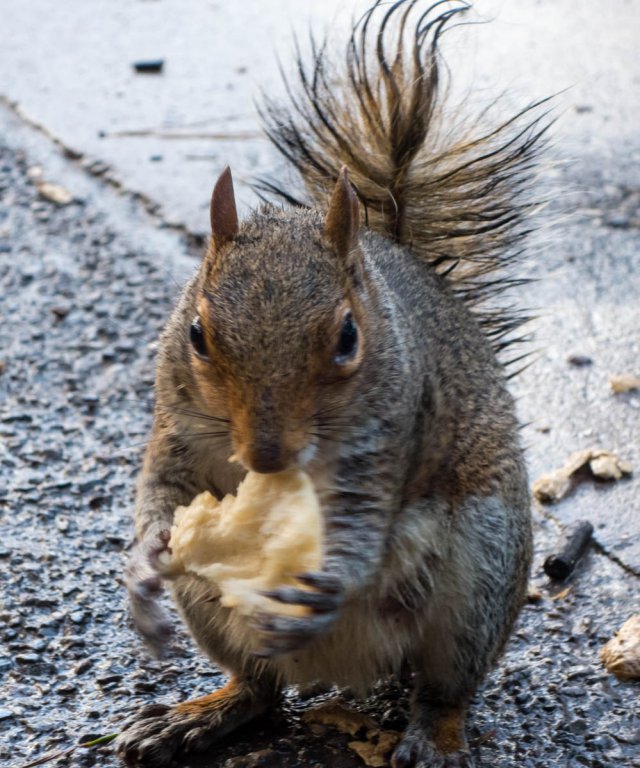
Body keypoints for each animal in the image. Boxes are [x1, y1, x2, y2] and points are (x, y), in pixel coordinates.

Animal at [115, 1, 544, 768]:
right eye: (196, 334)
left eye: (348, 338)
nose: (266, 456)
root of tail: (346, 671)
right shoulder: (173, 427)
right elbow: (159, 492)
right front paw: (144, 568)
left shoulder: (387, 442)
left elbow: (362, 527)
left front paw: (330, 580)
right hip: (214, 612)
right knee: (258, 690)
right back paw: (196, 715)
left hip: (480, 579)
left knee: (447, 687)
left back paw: (435, 737)